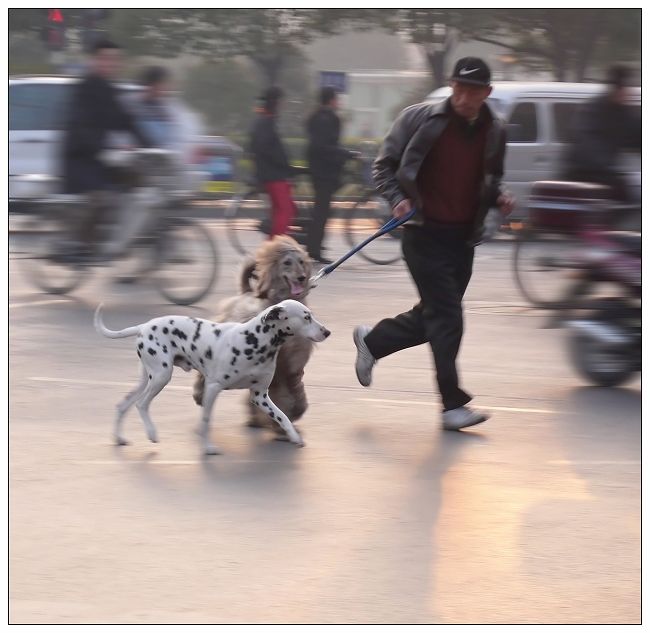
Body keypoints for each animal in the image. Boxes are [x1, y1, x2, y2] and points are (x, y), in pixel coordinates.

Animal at [93, 298, 330, 452]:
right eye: (306, 317)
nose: (327, 332)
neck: (255, 342)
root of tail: (144, 326)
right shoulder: (213, 388)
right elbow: (206, 420)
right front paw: (207, 447)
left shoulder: (260, 396)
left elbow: (282, 417)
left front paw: (294, 437)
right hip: (161, 377)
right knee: (141, 404)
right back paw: (151, 433)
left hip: (147, 380)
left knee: (122, 405)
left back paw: (119, 438)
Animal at [191, 235, 312, 436]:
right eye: (287, 262)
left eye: (301, 262)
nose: (302, 277)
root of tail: (245, 292)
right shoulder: (275, 370)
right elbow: (281, 395)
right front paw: (281, 423)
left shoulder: (292, 365)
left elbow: (295, 388)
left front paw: (293, 413)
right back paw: (200, 394)